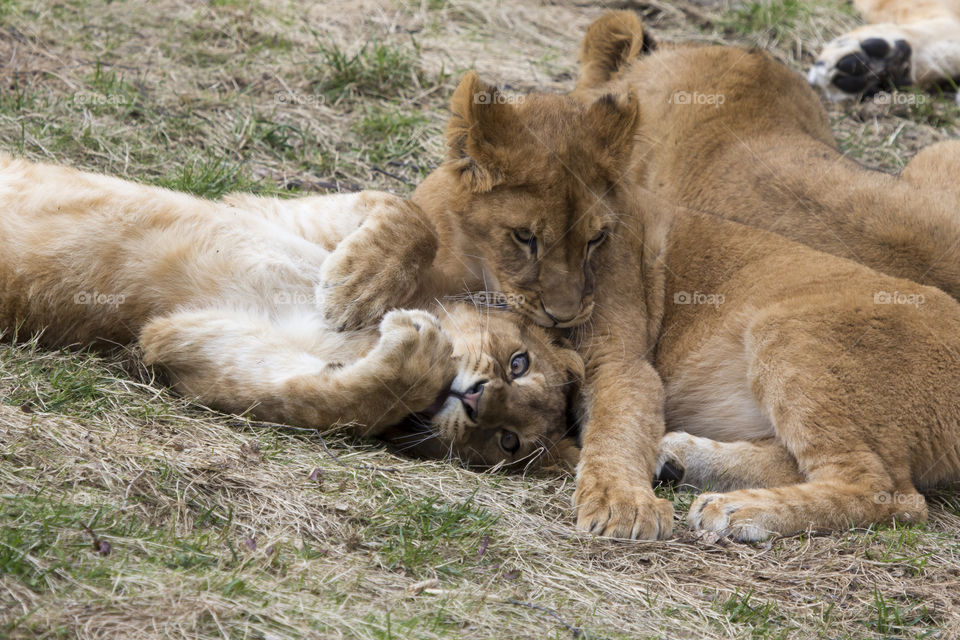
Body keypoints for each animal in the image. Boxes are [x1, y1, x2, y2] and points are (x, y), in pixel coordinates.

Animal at [0, 154, 583, 469]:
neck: (360, 341)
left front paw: (416, 352)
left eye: (507, 441)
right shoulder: (275, 212)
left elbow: (321, 398)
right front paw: (355, 289)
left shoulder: (179, 341)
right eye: (519, 362)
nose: (478, 401)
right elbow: (410, 216)